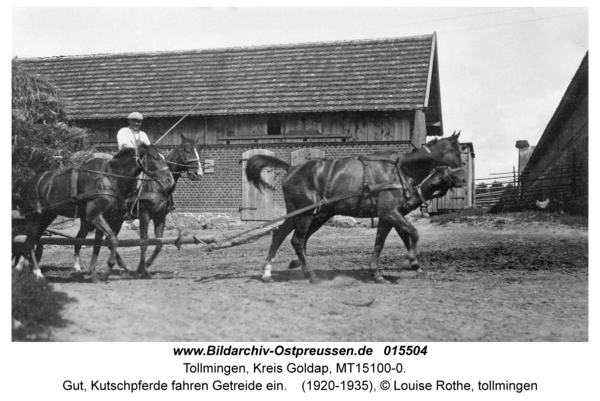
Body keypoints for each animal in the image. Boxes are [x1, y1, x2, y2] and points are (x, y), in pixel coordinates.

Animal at [14, 144, 173, 282]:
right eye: (155, 158)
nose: (169, 180)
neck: (109, 177)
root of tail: (25, 185)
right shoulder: (95, 216)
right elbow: (113, 239)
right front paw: (107, 269)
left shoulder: (106, 217)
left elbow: (98, 244)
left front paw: (93, 272)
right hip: (35, 219)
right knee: (29, 243)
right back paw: (37, 272)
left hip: (46, 218)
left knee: (30, 242)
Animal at [72, 134, 204, 278]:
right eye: (187, 150)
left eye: (198, 150)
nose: (198, 174)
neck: (157, 186)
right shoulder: (144, 214)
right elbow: (144, 241)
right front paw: (142, 269)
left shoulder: (160, 217)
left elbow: (159, 243)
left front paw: (147, 265)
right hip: (89, 220)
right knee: (80, 238)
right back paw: (77, 267)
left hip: (114, 220)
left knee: (106, 240)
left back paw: (123, 268)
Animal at [244, 130, 464, 282]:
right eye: (457, 153)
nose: (462, 179)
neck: (399, 171)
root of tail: (291, 168)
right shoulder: (390, 213)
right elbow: (414, 233)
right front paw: (412, 261)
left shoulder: (388, 216)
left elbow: (382, 242)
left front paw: (379, 272)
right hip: (304, 214)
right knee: (297, 241)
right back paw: (310, 274)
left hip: (301, 214)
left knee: (280, 236)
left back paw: (267, 272)